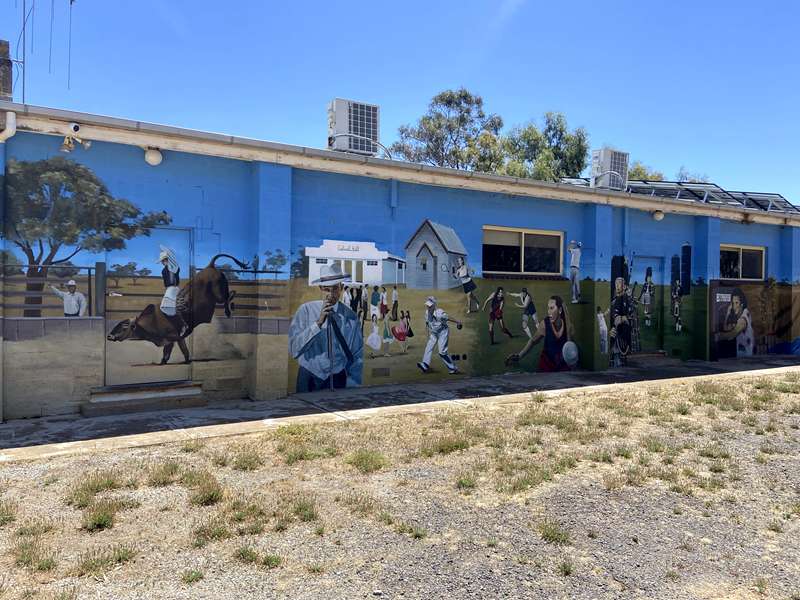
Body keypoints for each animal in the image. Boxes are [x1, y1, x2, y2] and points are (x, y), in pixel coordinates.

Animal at [106, 252, 248, 360]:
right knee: (231, 294)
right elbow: (170, 354)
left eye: (124, 326)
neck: (153, 320)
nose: (109, 336)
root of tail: (210, 266)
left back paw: (229, 310)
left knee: (230, 295)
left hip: (219, 294)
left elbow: (179, 352)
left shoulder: (175, 337)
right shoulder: (173, 341)